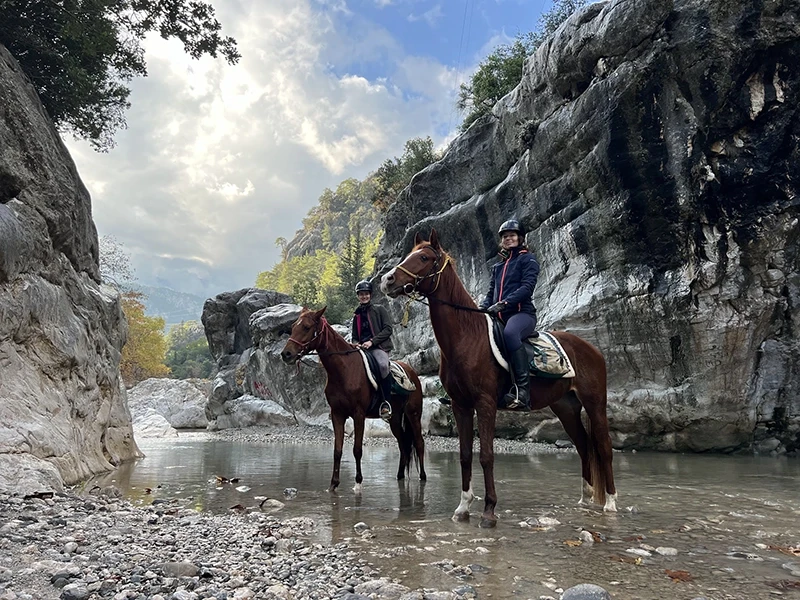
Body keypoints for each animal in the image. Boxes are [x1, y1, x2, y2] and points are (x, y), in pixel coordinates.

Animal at [280, 306, 427, 494]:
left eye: (306, 327)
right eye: (293, 327)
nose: (286, 354)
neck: (344, 370)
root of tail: (411, 372)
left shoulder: (358, 415)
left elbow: (357, 449)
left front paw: (358, 483)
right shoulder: (337, 414)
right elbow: (337, 450)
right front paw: (333, 484)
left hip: (413, 414)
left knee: (419, 443)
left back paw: (423, 476)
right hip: (394, 418)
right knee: (403, 444)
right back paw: (400, 476)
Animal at [380, 229, 616, 528]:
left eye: (423, 257)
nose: (387, 281)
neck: (468, 338)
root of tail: (591, 349)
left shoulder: (485, 403)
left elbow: (487, 456)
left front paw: (489, 511)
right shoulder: (461, 406)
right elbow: (465, 456)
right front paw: (463, 508)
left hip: (595, 404)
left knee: (604, 448)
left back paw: (610, 503)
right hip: (566, 408)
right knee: (584, 446)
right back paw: (585, 500)